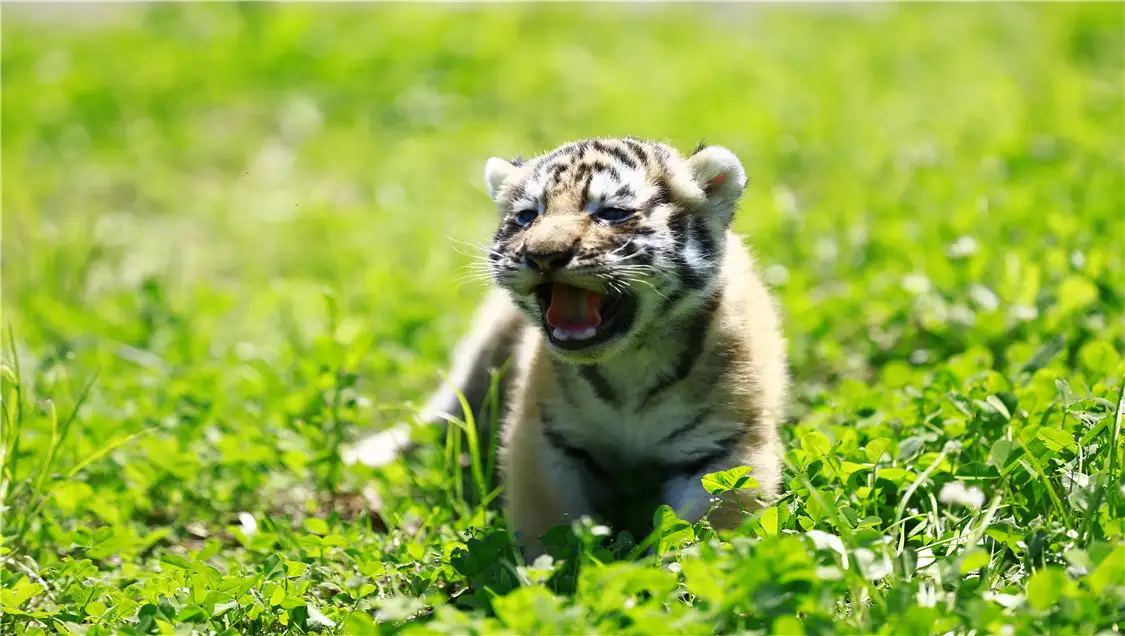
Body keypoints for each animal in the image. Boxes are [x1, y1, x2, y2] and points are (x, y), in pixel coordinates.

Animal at [346, 137, 789, 559]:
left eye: (612, 213)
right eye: (528, 216)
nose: (543, 256)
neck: (630, 361)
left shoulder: (727, 448)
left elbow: (705, 532)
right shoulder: (546, 438)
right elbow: (548, 524)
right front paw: (550, 574)